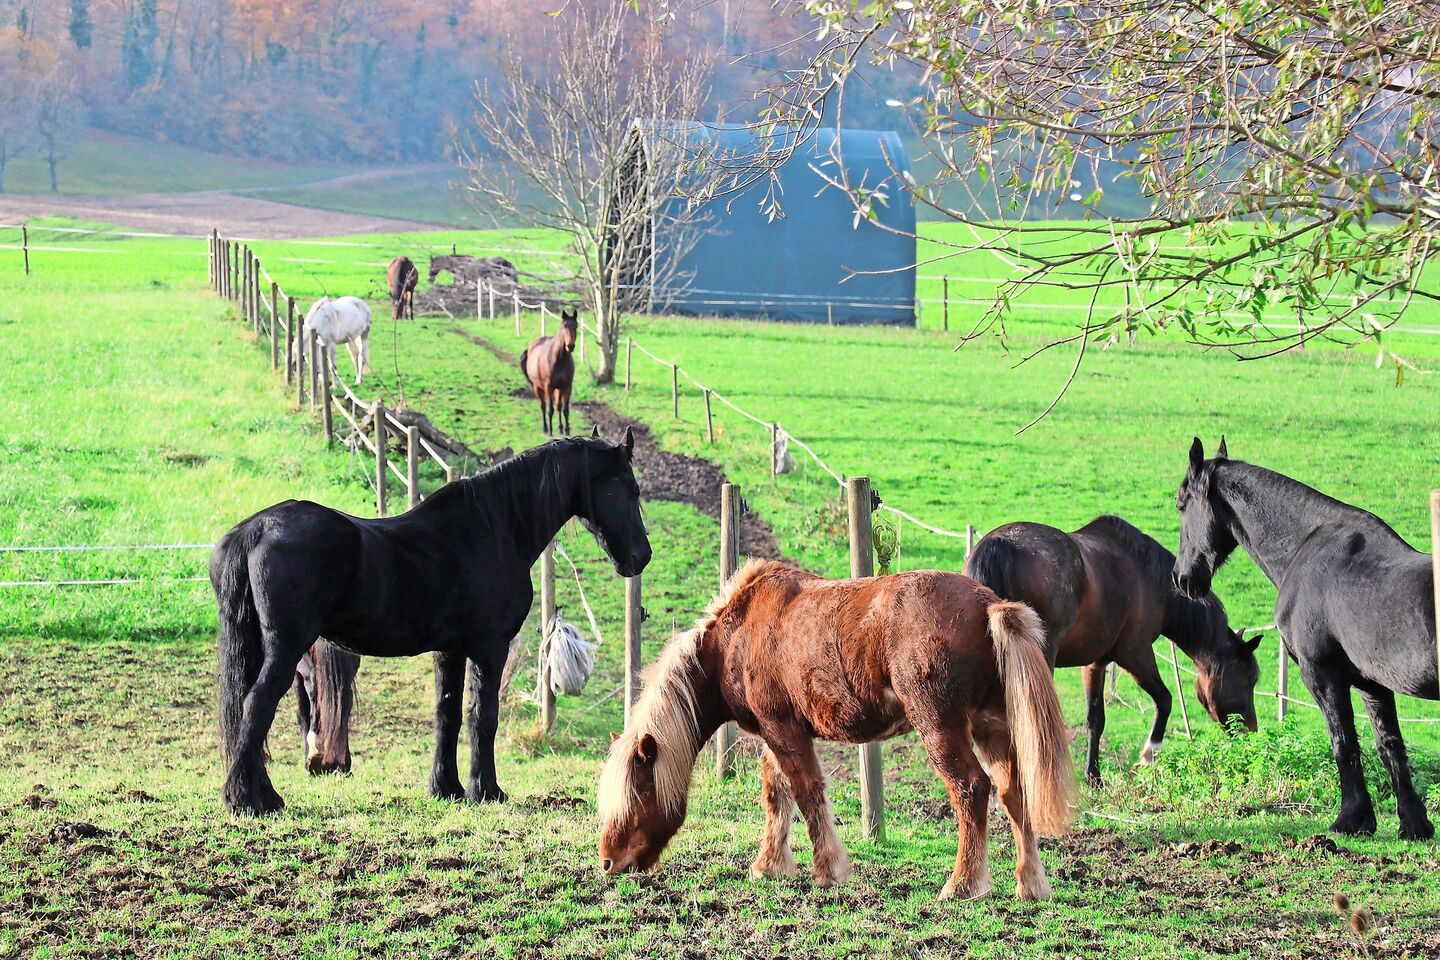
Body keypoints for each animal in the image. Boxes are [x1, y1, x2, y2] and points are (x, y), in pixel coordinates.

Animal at [520, 308, 579, 436]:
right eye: (564, 325)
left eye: (576, 326)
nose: (570, 346)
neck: (559, 358)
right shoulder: (548, 387)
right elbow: (550, 410)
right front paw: (551, 432)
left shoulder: (567, 386)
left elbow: (565, 409)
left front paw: (567, 430)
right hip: (538, 387)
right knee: (543, 406)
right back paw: (545, 428)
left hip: (558, 388)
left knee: (559, 406)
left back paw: (560, 428)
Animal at [599, 559, 1077, 901]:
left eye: (637, 793)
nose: (607, 862)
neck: (735, 637)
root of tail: (987, 605)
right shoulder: (779, 733)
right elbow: (777, 795)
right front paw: (770, 865)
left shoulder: (783, 732)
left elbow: (807, 793)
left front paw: (827, 870)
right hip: (990, 726)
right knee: (1014, 793)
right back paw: (1030, 885)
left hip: (941, 727)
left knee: (971, 790)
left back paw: (962, 885)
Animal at [966, 515, 1260, 785]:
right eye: (1250, 680)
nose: (1251, 731)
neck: (1151, 579)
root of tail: (999, 543)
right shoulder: (1136, 654)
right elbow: (1165, 700)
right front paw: (1146, 758)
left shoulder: (1095, 663)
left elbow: (1095, 719)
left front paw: (1094, 776)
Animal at [1174, 437, 1438, 840]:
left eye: (1181, 503)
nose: (1182, 578)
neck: (1307, 546)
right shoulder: (1372, 684)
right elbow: (1389, 745)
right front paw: (1413, 824)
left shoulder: (1321, 674)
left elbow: (1343, 743)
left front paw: (1351, 819)